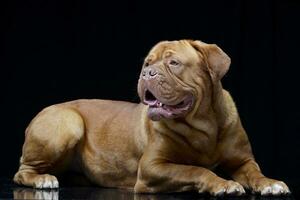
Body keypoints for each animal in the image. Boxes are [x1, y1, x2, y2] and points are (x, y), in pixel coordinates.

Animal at [14, 39, 290, 196]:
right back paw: (43, 180)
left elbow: (255, 172)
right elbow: (195, 170)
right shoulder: (152, 167)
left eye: (174, 63)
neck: (204, 125)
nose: (147, 73)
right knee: (22, 171)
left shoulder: (243, 161)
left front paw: (270, 183)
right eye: (147, 63)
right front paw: (223, 184)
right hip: (68, 123)